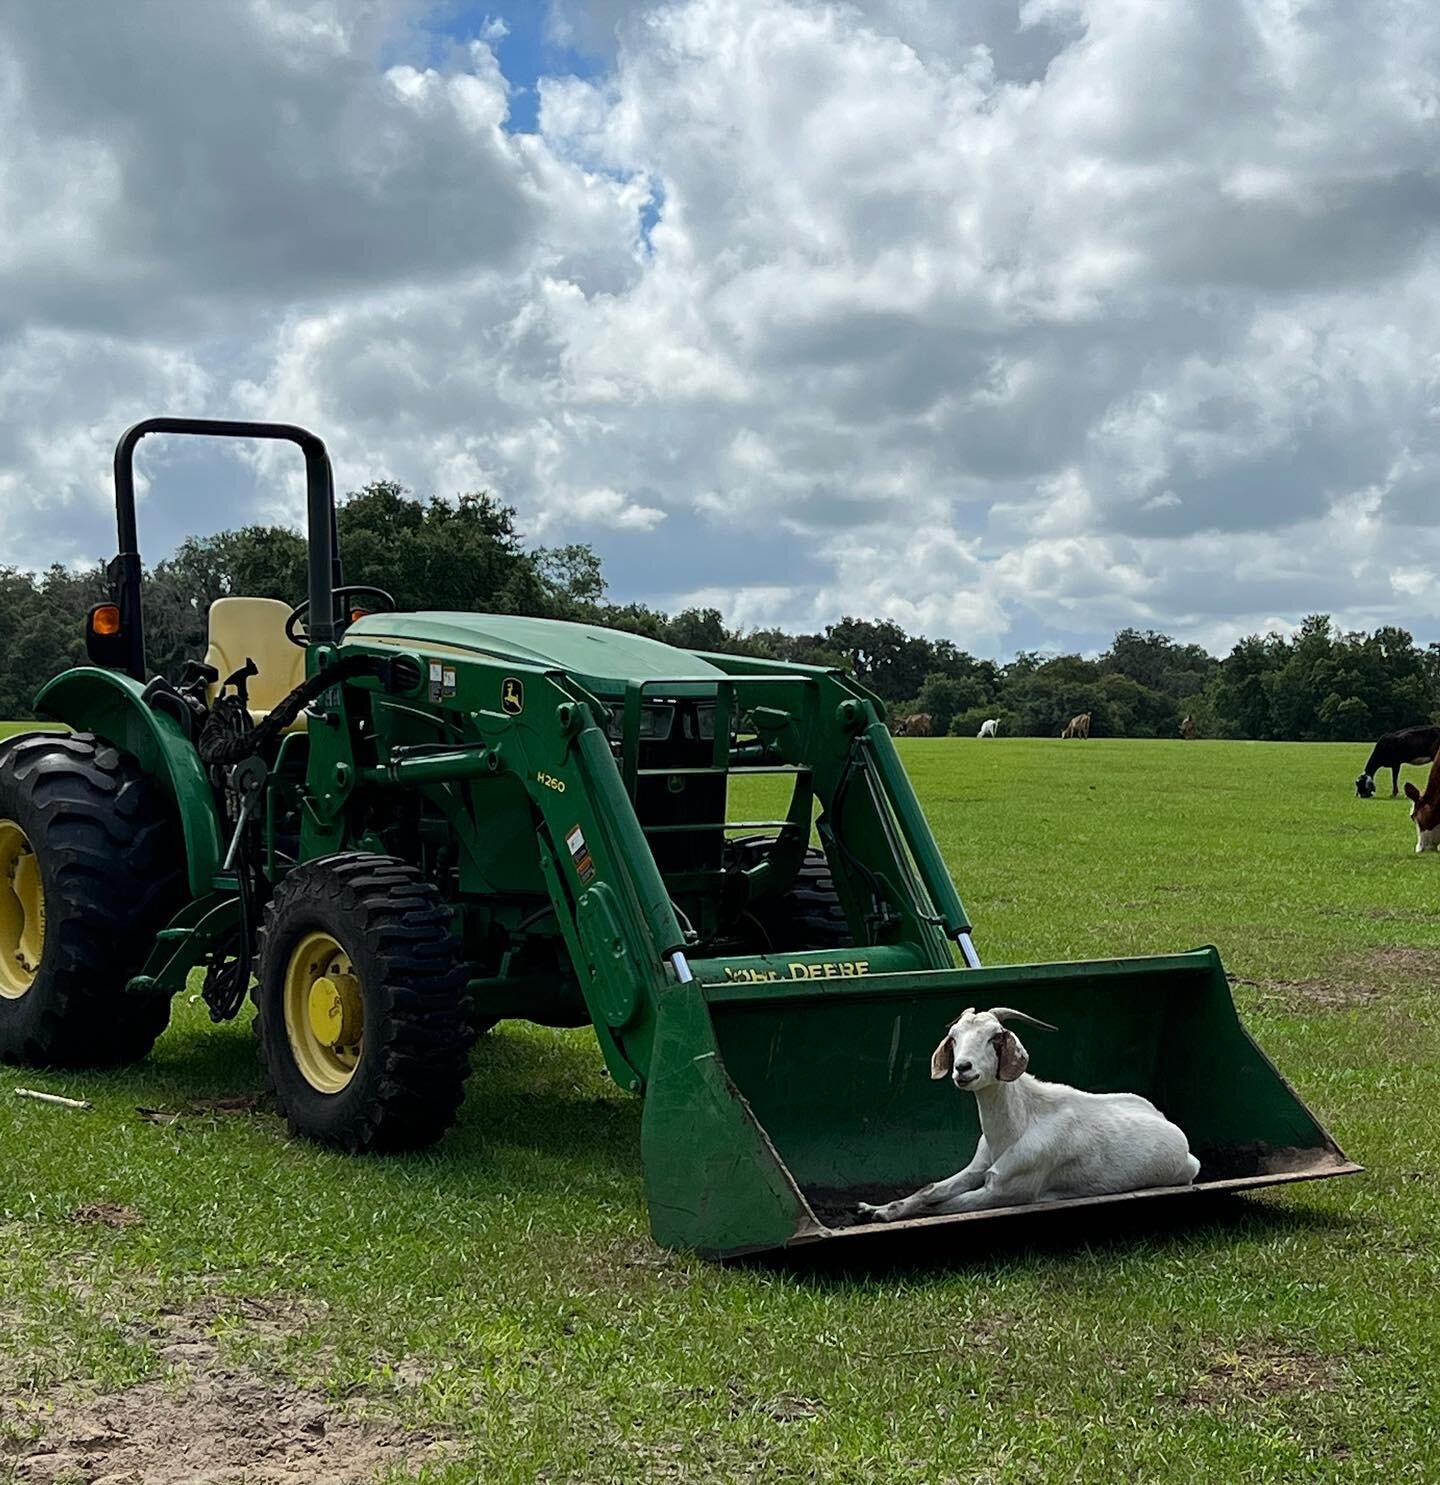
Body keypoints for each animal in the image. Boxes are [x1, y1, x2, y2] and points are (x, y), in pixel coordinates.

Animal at [861, 1009, 1193, 1217]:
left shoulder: (1004, 1190)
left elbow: (940, 1206)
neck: (1018, 1124)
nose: (962, 1068)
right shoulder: (977, 1168)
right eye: (954, 1037)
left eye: (995, 1037)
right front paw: (876, 1209)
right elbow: (930, 1190)